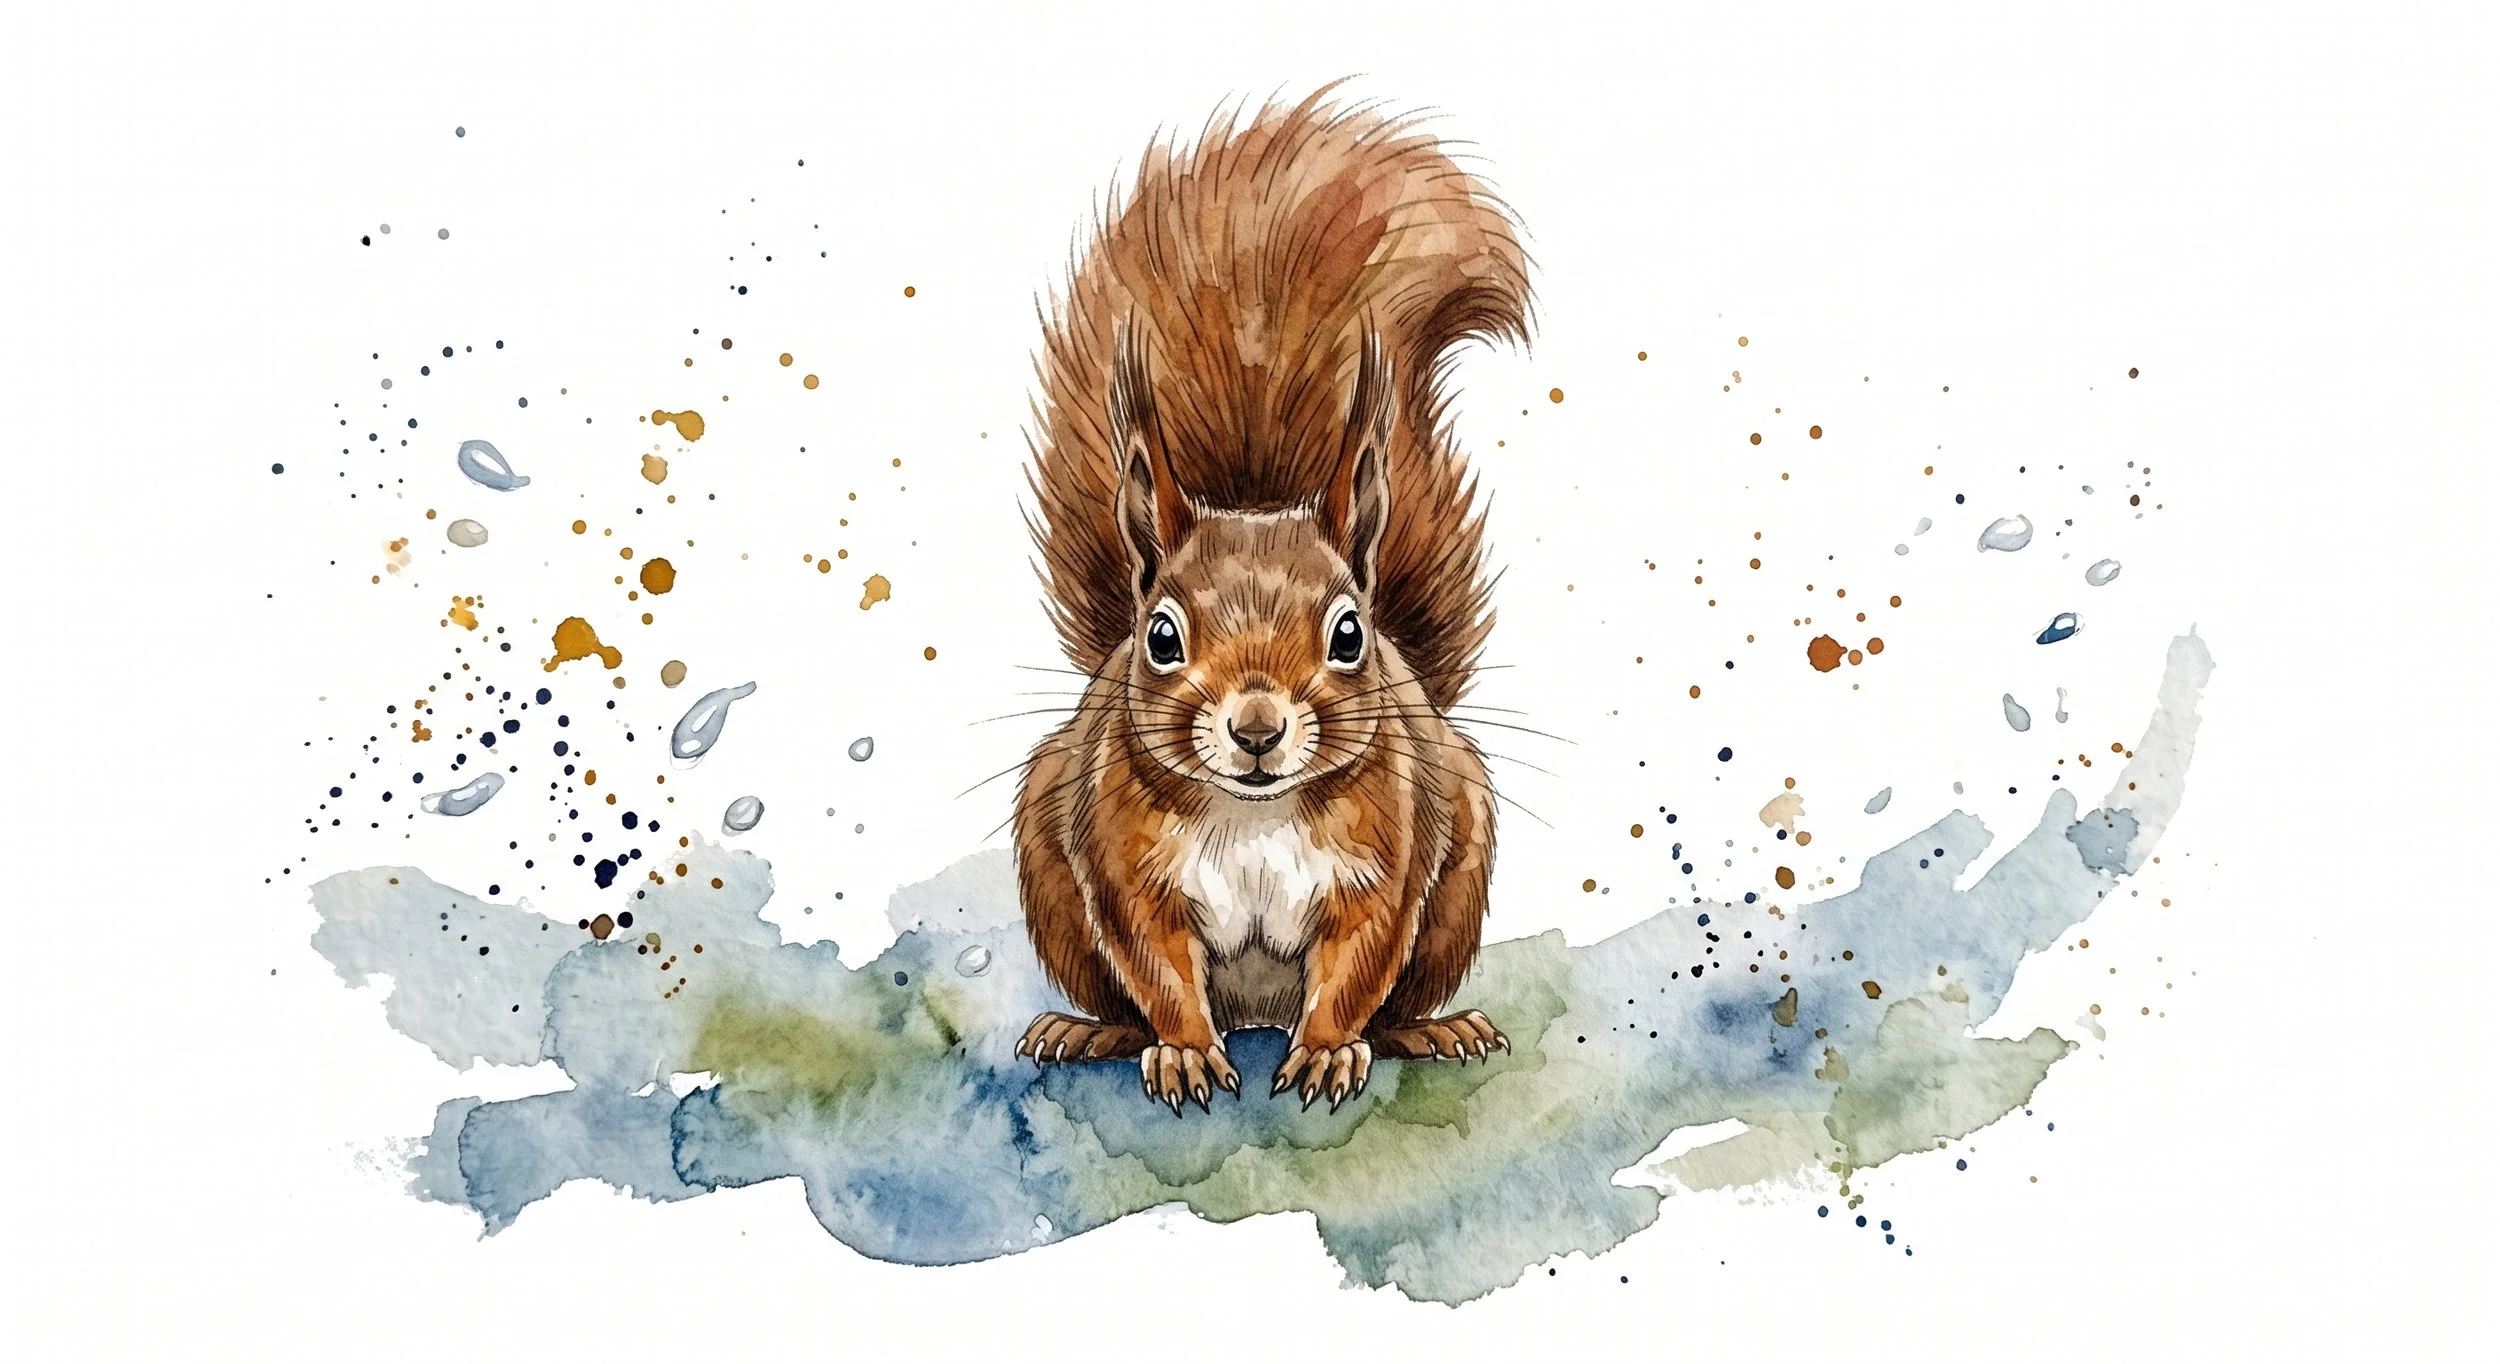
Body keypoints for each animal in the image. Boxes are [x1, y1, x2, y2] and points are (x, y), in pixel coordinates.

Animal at [1011, 88, 1531, 1114]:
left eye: (1349, 634)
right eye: (1160, 637)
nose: (1256, 729)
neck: (1255, 818)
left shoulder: (1389, 860)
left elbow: (1359, 963)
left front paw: (1328, 1048)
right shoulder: (1121, 863)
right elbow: (1157, 966)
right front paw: (1180, 1049)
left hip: (1462, 858)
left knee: (1400, 996)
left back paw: (1433, 1028)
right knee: (1116, 993)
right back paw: (1090, 1031)